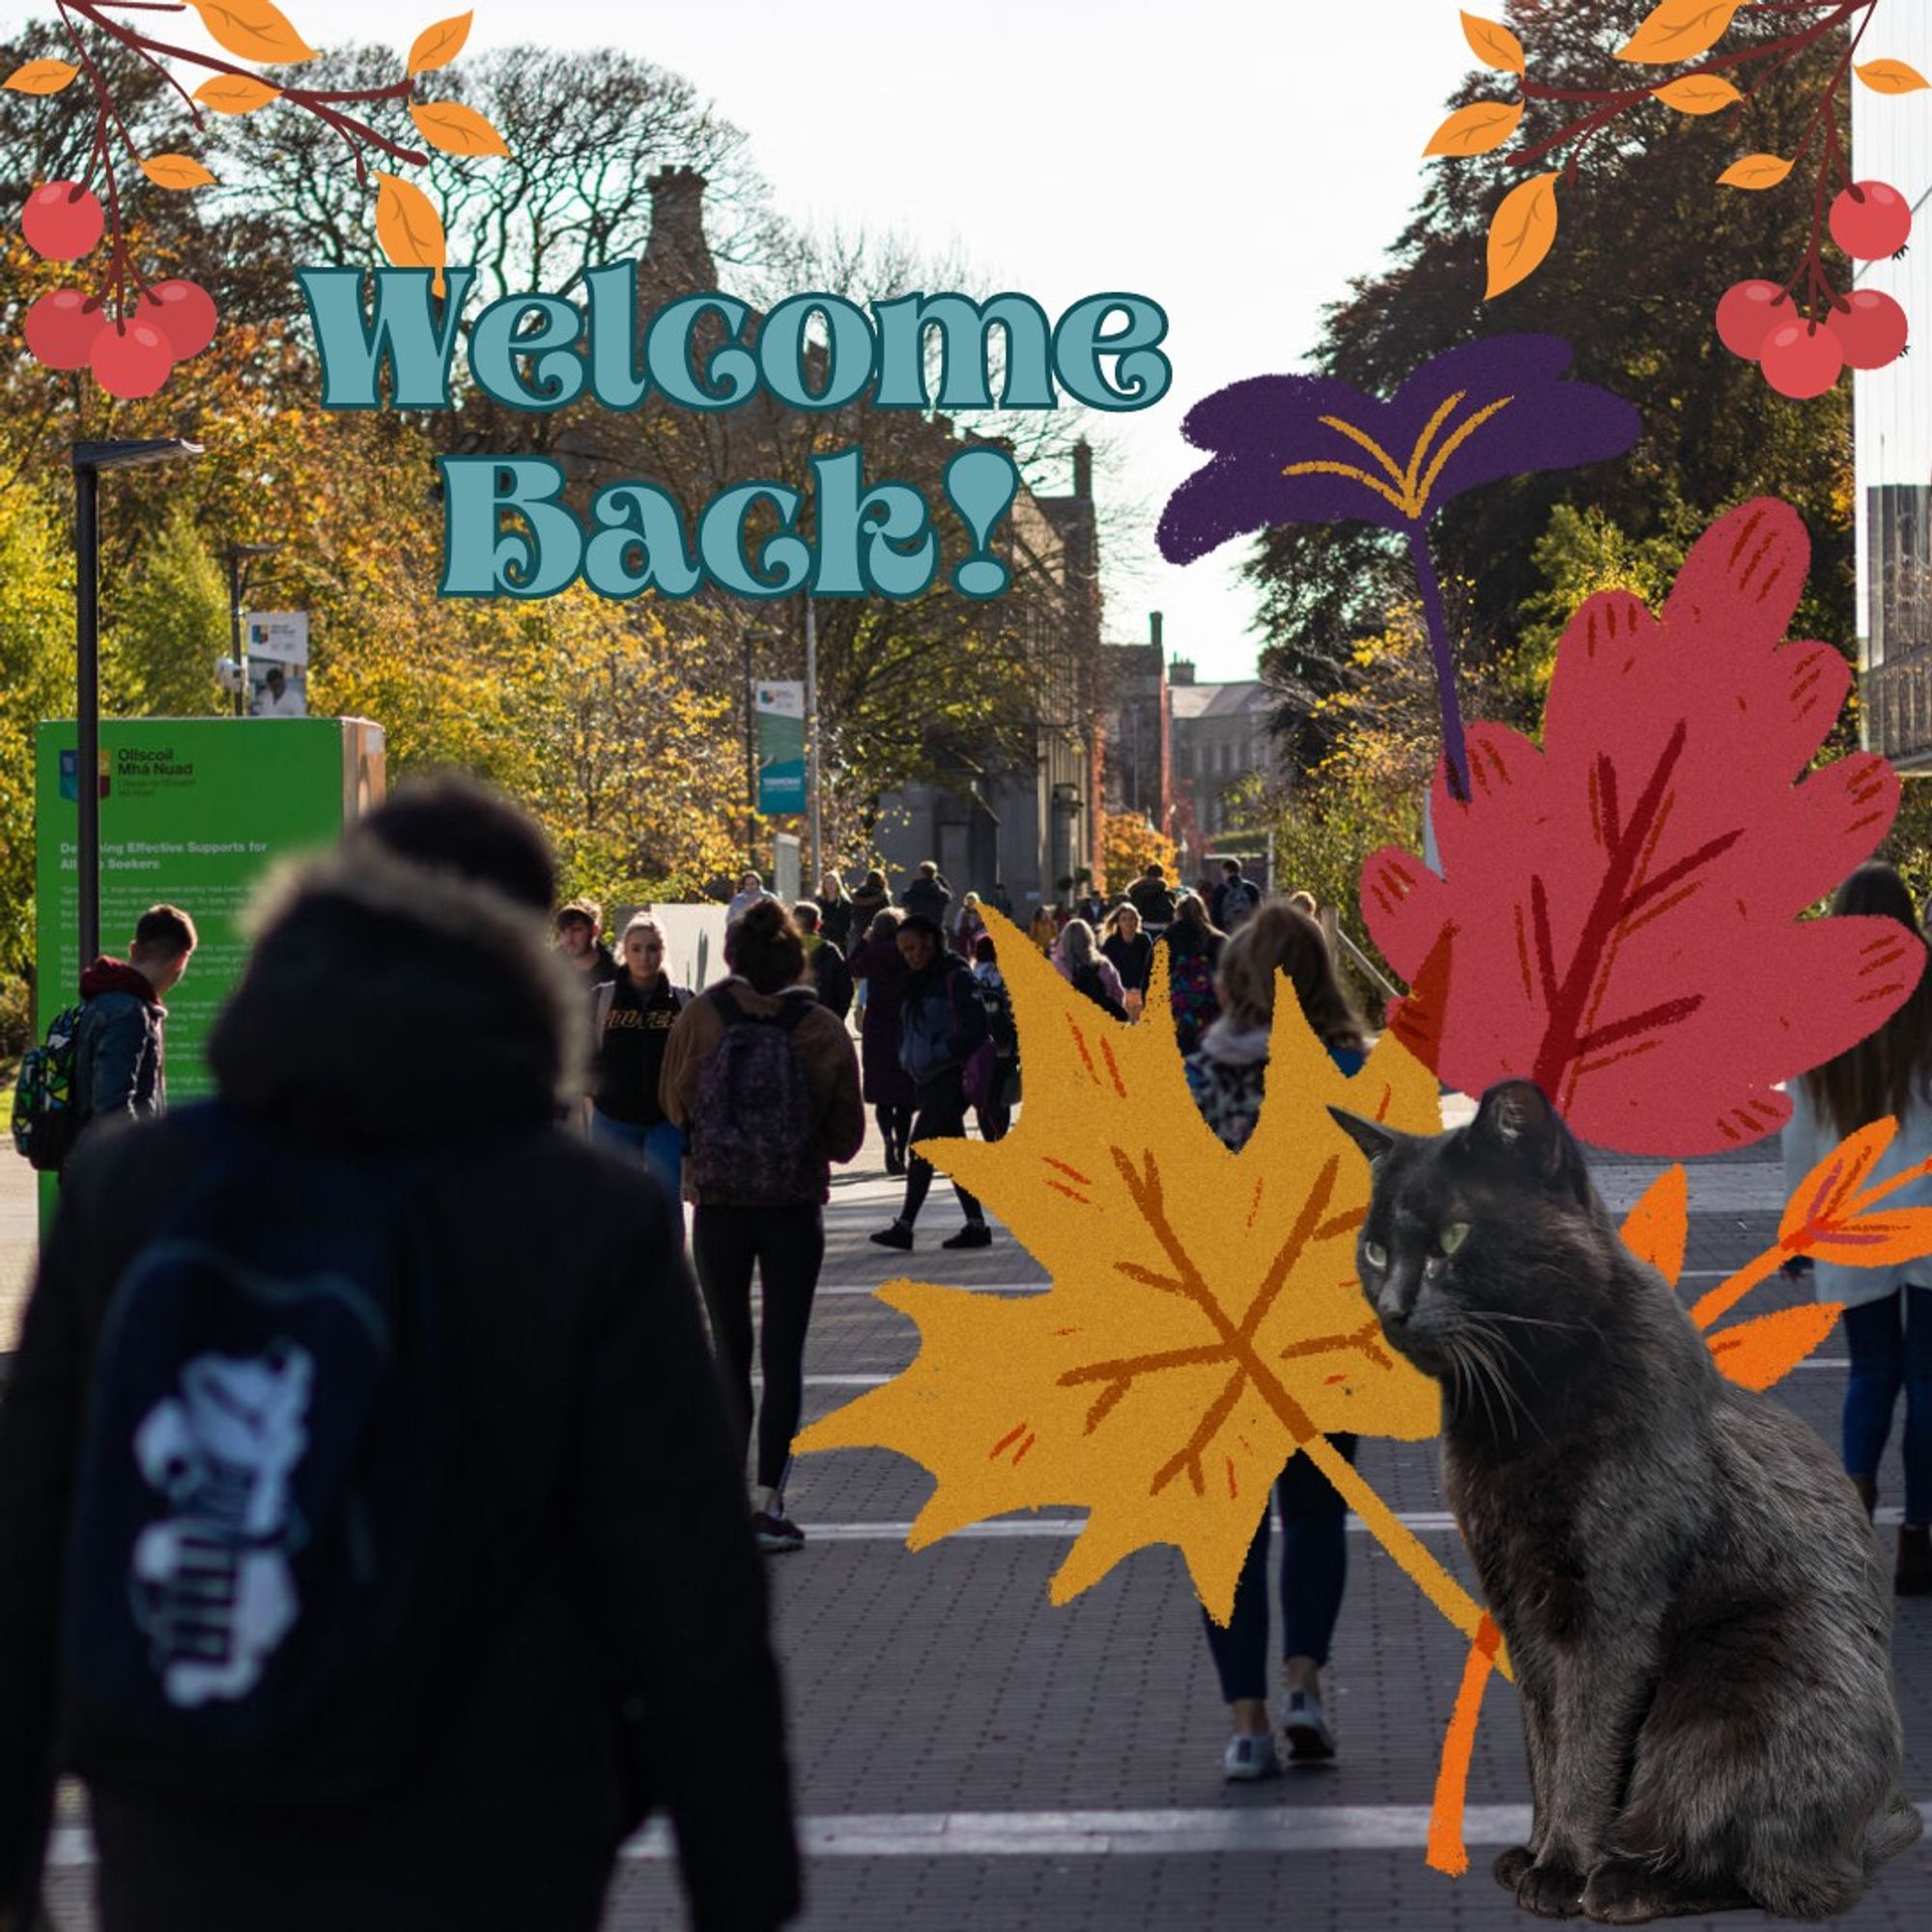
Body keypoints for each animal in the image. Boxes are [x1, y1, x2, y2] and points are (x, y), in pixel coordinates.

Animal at [1337, 1082, 1924, 1924]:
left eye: (1453, 1236)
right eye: (1376, 1249)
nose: (1391, 1306)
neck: (1513, 1414)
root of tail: (1863, 1834)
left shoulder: (1610, 1607)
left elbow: (1588, 1746)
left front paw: (1563, 1869)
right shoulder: (1520, 1609)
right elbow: (1546, 1740)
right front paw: (1538, 1853)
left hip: (1728, 1689)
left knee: (1766, 1867)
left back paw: (1629, 1881)